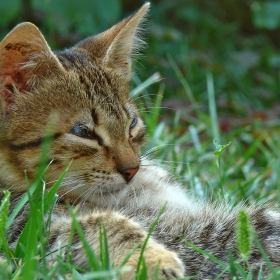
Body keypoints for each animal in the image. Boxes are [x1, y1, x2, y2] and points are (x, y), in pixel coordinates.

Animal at [0, 3, 280, 278]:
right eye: (83, 132)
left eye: (132, 122)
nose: (132, 169)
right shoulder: (26, 228)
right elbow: (99, 223)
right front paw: (153, 258)